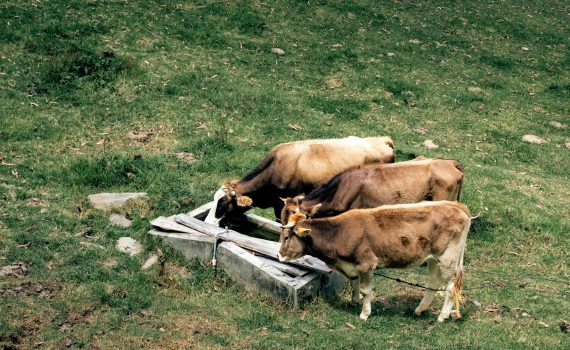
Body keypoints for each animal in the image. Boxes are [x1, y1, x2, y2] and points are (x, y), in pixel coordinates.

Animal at [278, 201, 468, 322]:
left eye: (286, 237)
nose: (279, 255)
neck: (339, 232)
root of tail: (458, 207)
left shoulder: (366, 264)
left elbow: (365, 290)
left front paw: (364, 313)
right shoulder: (351, 266)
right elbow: (354, 284)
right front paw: (353, 302)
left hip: (448, 259)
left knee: (451, 287)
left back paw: (442, 316)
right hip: (433, 260)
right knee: (434, 282)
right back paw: (420, 310)